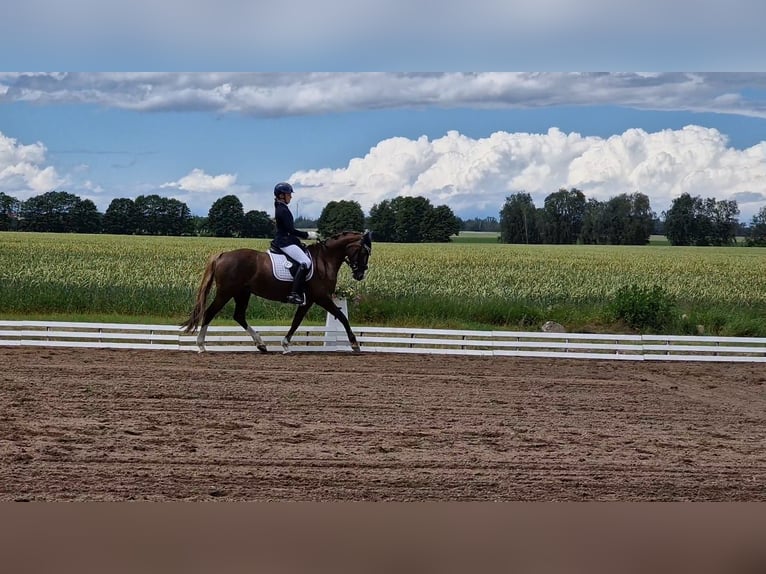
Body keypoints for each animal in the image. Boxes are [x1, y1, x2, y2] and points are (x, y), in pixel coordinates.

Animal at [180, 232, 372, 354]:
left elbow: (296, 322)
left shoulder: (309, 300)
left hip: (242, 293)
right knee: (210, 313)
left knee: (239, 316)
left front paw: (285, 345)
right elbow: (342, 317)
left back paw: (261, 344)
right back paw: (201, 346)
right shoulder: (321, 298)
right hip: (226, 292)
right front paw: (354, 344)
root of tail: (223, 255)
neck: (324, 261)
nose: (360, 274)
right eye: (364, 251)